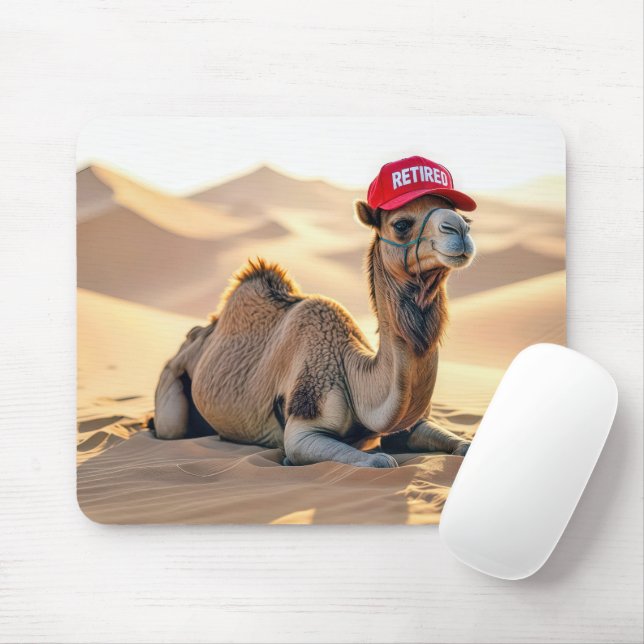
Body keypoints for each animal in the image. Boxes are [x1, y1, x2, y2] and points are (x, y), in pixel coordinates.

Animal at [150, 194, 476, 468]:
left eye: (466, 218)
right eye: (402, 224)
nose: (460, 229)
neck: (356, 376)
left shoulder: (409, 425)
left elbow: (463, 446)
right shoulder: (305, 422)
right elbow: (380, 460)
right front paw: (287, 460)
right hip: (171, 383)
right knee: (170, 427)